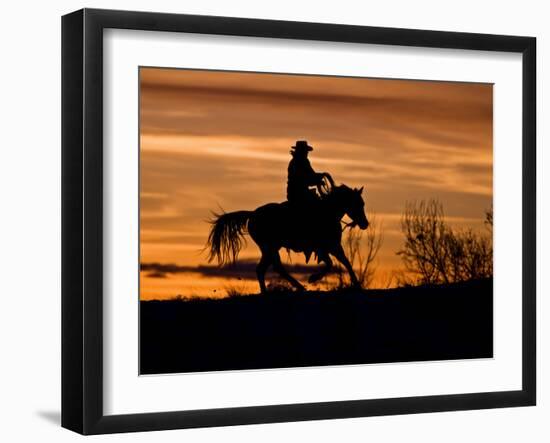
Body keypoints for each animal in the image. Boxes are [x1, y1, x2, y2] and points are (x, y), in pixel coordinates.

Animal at [207, 186, 370, 294]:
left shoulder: (333, 246)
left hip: (269, 249)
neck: (328, 212)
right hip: (270, 247)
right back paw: (299, 287)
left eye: (363, 203)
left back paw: (267, 291)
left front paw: (357, 284)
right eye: (357, 203)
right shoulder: (325, 247)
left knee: (262, 269)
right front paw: (313, 278)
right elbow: (332, 264)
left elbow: (345, 262)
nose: (365, 224)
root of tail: (252, 214)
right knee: (276, 268)